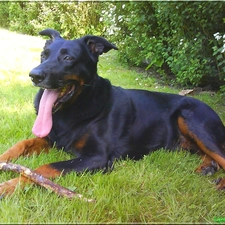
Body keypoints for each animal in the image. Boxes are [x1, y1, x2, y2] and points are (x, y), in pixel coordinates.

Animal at [0, 28, 225, 195]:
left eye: (68, 58)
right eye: (43, 55)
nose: (34, 75)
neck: (74, 108)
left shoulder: (97, 157)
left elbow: (44, 168)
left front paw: (9, 186)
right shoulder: (52, 138)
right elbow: (21, 144)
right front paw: (4, 159)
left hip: (191, 119)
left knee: (220, 153)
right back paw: (207, 166)